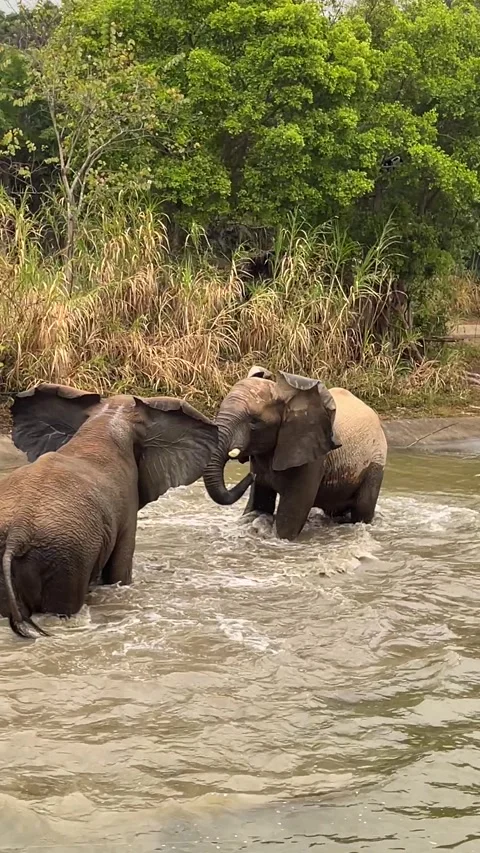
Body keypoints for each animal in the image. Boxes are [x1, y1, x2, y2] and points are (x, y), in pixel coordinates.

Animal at [203, 366, 387, 541]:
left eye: (254, 422)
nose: (251, 476)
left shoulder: (311, 455)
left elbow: (291, 516)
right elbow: (261, 502)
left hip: (375, 462)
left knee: (362, 508)